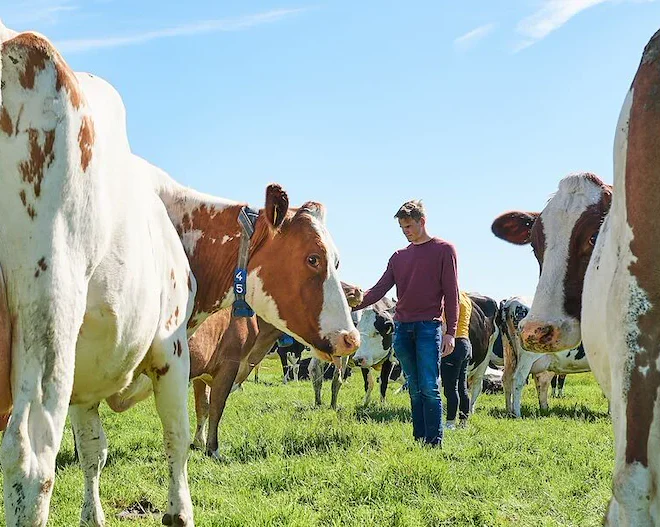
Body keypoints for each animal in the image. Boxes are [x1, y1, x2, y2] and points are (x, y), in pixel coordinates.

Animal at [0, 22, 358, 527]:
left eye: (337, 260)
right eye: (313, 258)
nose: (350, 337)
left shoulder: (87, 375)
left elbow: (93, 453)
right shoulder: (171, 349)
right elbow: (179, 438)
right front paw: (179, 508)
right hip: (49, 319)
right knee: (32, 462)